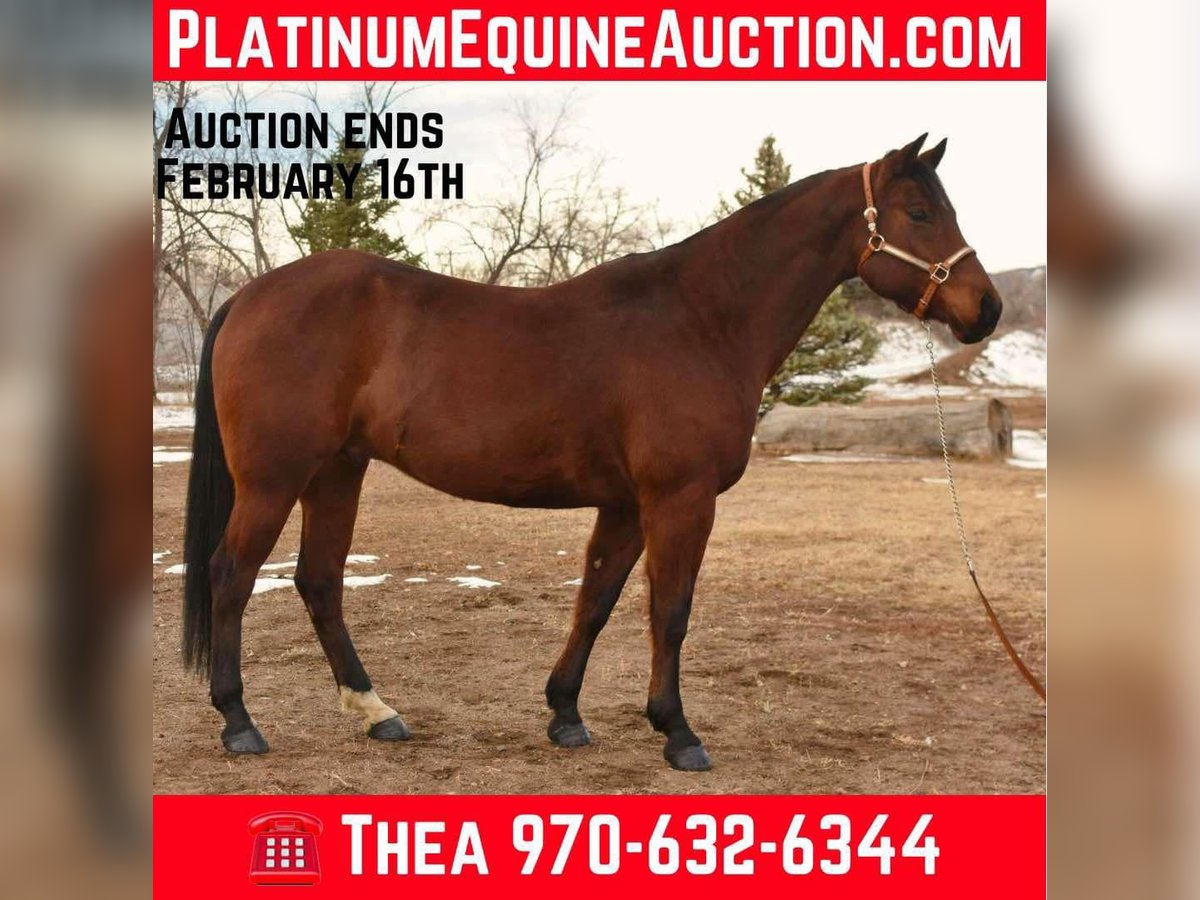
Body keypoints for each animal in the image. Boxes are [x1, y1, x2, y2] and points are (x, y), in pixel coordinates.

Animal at [181, 134, 1002, 771]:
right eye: (920, 212)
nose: (986, 308)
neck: (700, 320)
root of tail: (250, 296)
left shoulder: (626, 505)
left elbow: (597, 602)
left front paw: (566, 714)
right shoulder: (679, 499)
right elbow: (670, 610)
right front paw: (678, 733)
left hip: (337, 472)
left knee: (319, 582)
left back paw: (377, 711)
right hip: (274, 479)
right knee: (232, 575)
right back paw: (239, 723)